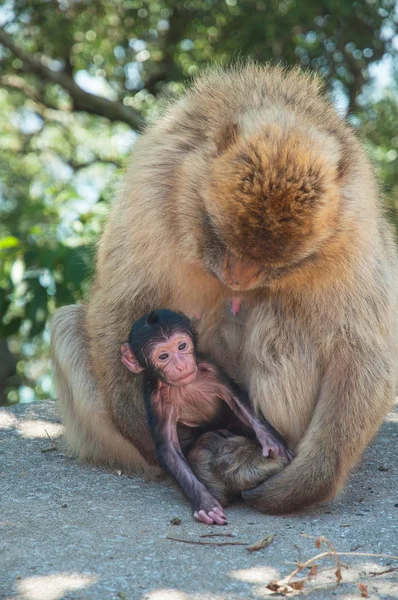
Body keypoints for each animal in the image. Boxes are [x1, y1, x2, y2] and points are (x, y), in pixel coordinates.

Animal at [121, 312, 292, 524]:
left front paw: (273, 442)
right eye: (163, 356)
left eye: (182, 346)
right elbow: (168, 448)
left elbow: (237, 399)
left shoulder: (210, 368)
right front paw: (204, 501)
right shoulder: (155, 399)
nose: (181, 364)